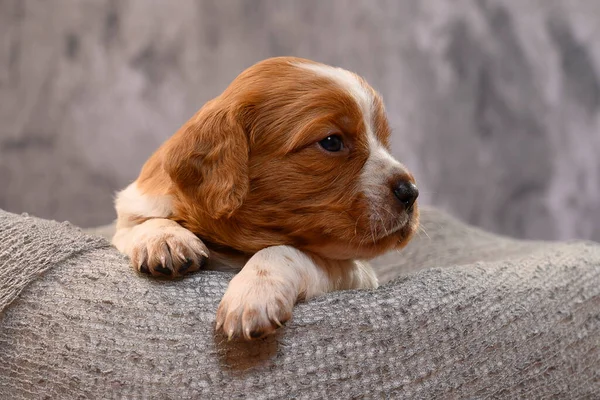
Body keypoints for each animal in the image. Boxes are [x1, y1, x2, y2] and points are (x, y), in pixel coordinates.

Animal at [113, 56, 422, 340]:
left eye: (384, 141)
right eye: (331, 142)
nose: (411, 192)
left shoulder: (355, 272)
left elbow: (285, 250)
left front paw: (251, 296)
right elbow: (139, 224)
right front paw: (165, 239)